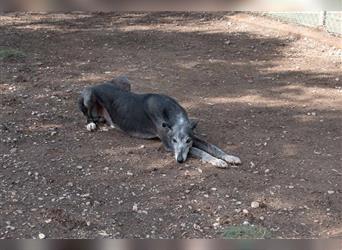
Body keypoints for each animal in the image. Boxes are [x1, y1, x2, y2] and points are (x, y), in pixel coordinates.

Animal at [79, 75, 242, 167]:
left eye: (188, 140)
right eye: (174, 140)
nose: (179, 160)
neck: (174, 113)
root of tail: (98, 83)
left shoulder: (193, 136)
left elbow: (213, 147)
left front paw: (229, 157)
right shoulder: (169, 145)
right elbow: (201, 151)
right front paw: (217, 161)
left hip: (125, 81)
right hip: (89, 95)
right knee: (87, 114)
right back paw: (91, 124)